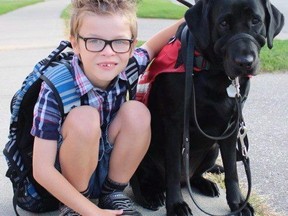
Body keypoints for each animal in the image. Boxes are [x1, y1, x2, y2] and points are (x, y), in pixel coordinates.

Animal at [132, 0, 284, 216]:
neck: (214, 72)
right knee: (151, 178)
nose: (245, 62)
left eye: (256, 20)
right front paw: (176, 205)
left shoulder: (231, 128)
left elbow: (232, 171)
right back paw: (151, 194)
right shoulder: (174, 124)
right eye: (223, 23)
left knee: (193, 177)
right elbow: (173, 169)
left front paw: (238, 204)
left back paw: (206, 184)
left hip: (213, 148)